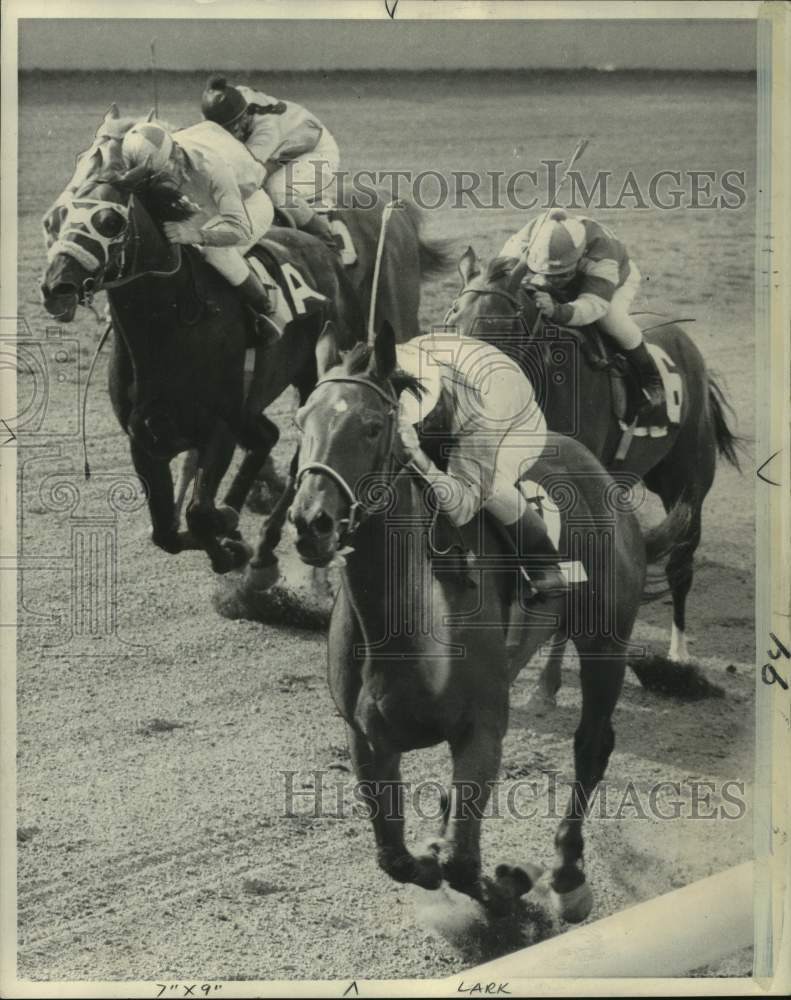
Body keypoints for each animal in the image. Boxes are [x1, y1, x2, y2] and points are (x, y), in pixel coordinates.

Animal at [41, 161, 364, 576]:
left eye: (110, 221)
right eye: (57, 218)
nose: (56, 288)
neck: (167, 329)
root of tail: (325, 250)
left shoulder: (218, 429)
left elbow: (198, 513)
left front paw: (229, 536)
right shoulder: (144, 440)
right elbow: (166, 531)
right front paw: (226, 537)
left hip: (313, 378)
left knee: (296, 460)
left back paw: (265, 543)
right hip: (249, 403)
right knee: (266, 436)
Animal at [290, 322, 688, 920]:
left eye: (372, 426)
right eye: (301, 421)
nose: (309, 522)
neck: (402, 619)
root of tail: (597, 468)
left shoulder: (481, 730)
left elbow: (462, 862)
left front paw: (507, 887)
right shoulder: (368, 739)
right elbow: (397, 857)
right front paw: (435, 848)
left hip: (606, 644)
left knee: (591, 746)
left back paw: (568, 873)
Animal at [446, 250, 744, 700]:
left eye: (499, 325)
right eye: (453, 321)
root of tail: (687, 346)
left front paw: (547, 683)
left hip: (688, 484)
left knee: (681, 565)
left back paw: (679, 655)